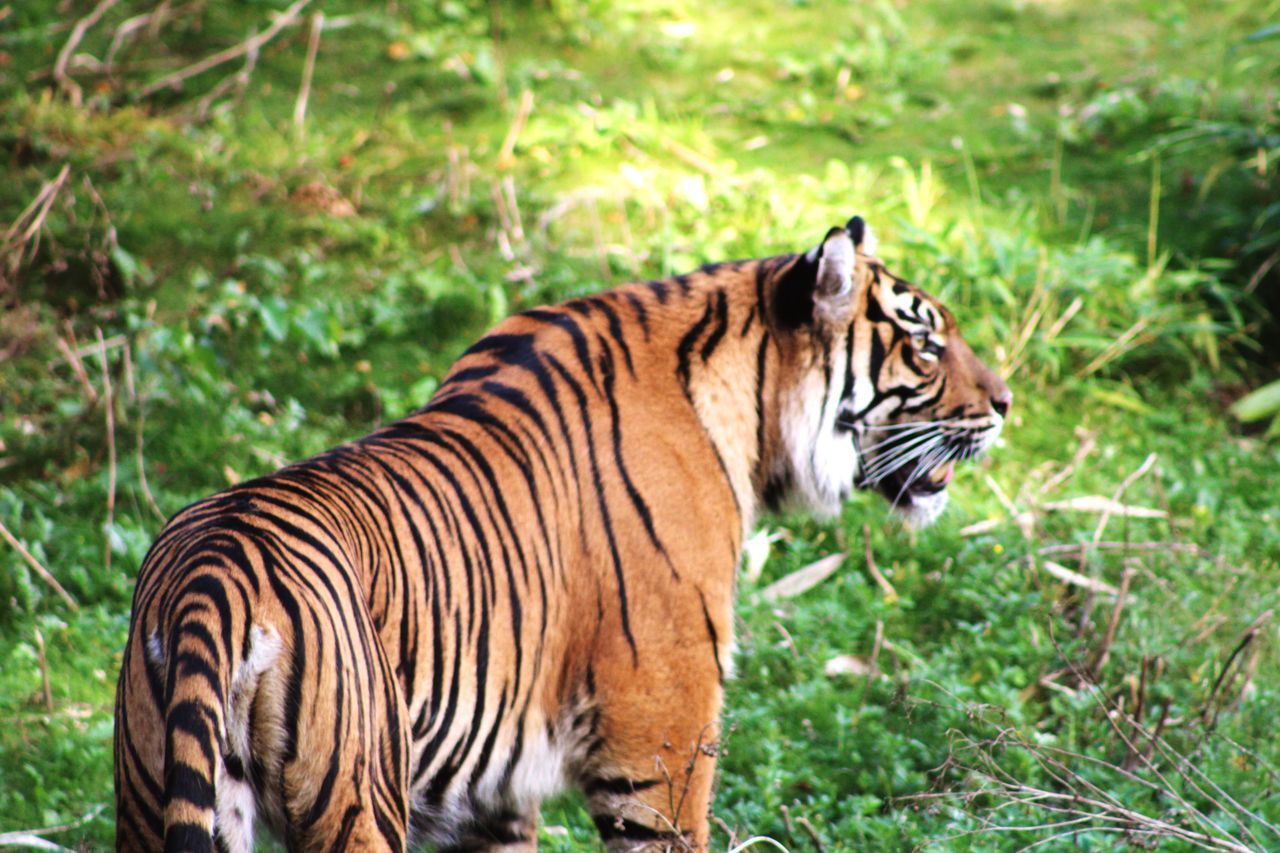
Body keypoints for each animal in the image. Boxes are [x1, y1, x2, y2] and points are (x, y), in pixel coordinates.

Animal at [112, 216, 1008, 845]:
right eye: (926, 345)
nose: (1004, 403)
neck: (747, 407)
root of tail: (212, 570)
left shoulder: (489, 797)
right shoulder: (660, 740)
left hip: (155, 792)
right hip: (354, 800)